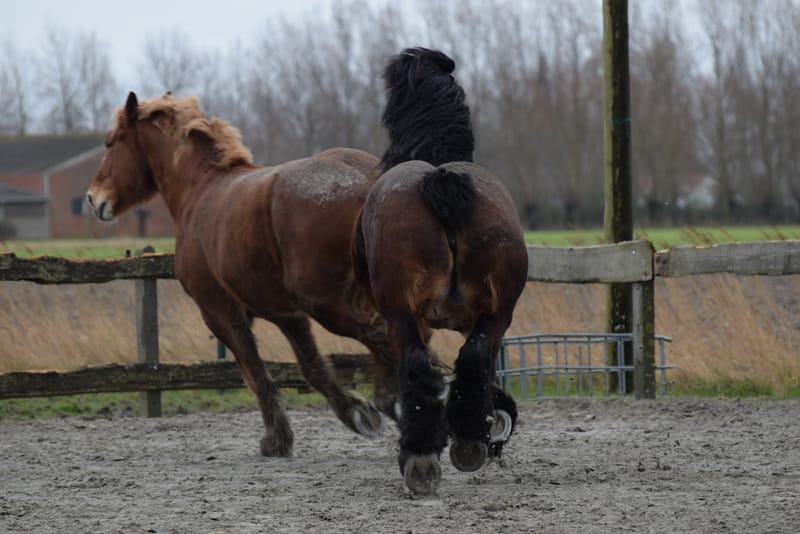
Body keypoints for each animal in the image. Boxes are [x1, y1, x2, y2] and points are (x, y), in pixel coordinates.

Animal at [86, 92, 400, 457]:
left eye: (111, 142)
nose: (93, 198)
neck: (199, 190)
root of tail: (366, 181)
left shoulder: (219, 312)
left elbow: (256, 374)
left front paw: (279, 438)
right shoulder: (284, 313)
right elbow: (311, 367)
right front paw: (353, 412)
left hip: (329, 304)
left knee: (384, 339)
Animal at [353, 48, 529, 494]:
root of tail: (440, 177)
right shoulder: (476, 322)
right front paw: (493, 419)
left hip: (401, 313)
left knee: (418, 369)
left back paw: (420, 456)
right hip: (498, 312)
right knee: (474, 362)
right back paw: (469, 439)